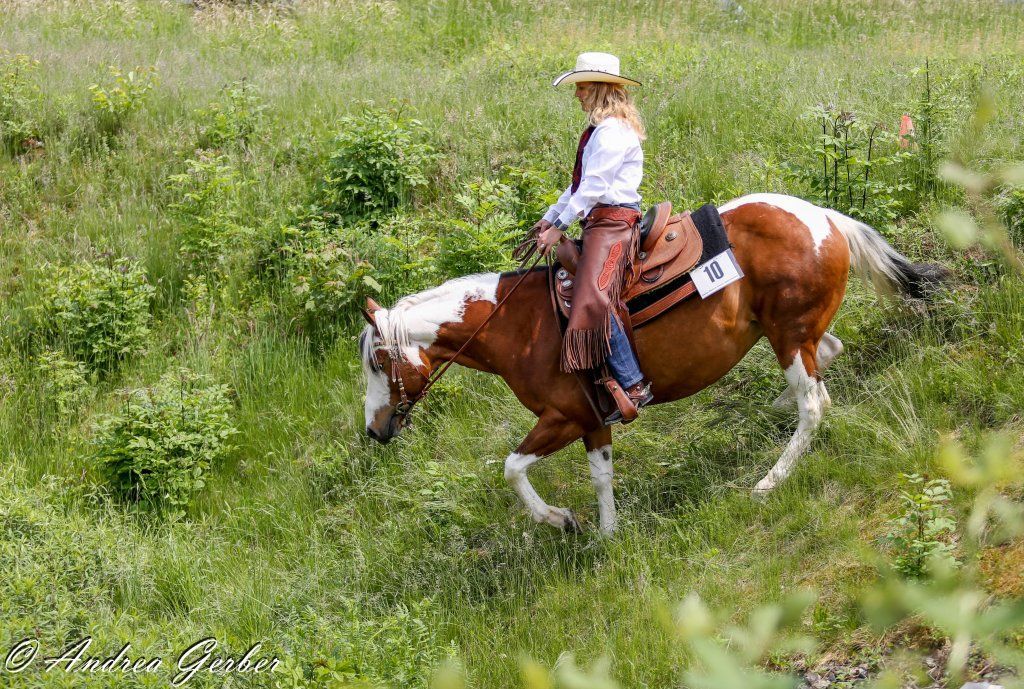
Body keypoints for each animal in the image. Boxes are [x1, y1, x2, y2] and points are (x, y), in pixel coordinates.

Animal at [359, 193, 947, 536]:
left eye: (377, 362)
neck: (519, 326)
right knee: (827, 363)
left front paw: (561, 519)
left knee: (813, 406)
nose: (374, 430)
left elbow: (511, 468)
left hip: (789, 336)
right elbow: (601, 477)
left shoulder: (564, 416)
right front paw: (607, 534)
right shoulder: (593, 418)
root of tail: (824, 218)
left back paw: (770, 480)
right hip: (788, 332)